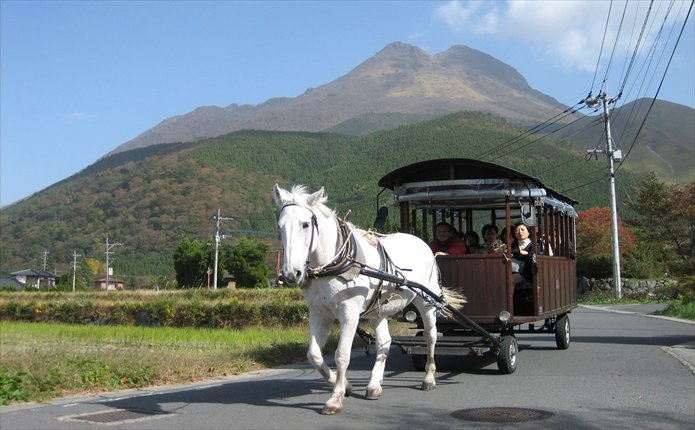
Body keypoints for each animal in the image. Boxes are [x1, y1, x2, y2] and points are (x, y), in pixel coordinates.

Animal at [274, 183, 464, 414]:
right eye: (280, 226)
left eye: (305, 224)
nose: (291, 274)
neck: (333, 261)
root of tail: (421, 241)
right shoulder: (319, 312)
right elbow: (314, 355)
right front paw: (344, 385)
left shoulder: (349, 314)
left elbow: (342, 354)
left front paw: (335, 398)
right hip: (378, 309)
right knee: (384, 342)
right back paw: (374, 385)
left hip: (426, 301)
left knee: (430, 337)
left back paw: (428, 378)